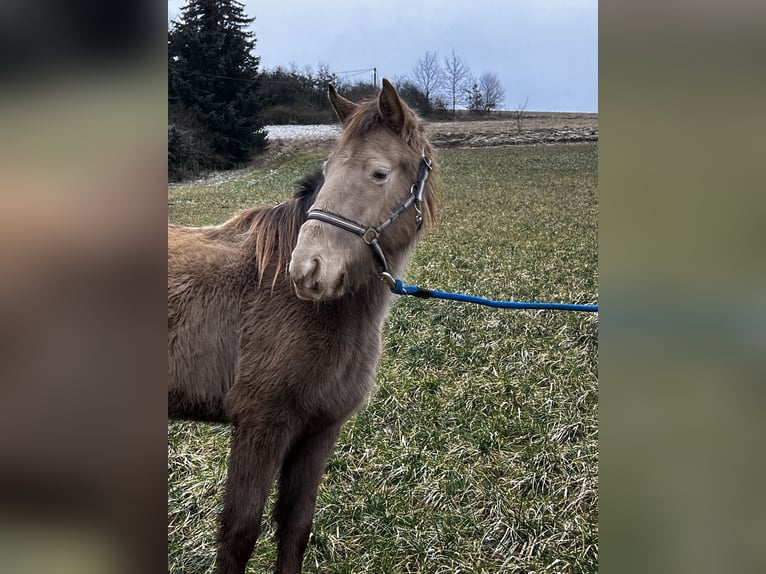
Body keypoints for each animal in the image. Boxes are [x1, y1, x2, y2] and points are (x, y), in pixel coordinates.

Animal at [169, 81, 438, 574]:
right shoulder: (261, 426)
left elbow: (295, 529)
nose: (307, 270)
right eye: (328, 170)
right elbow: (238, 536)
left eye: (379, 173)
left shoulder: (319, 431)